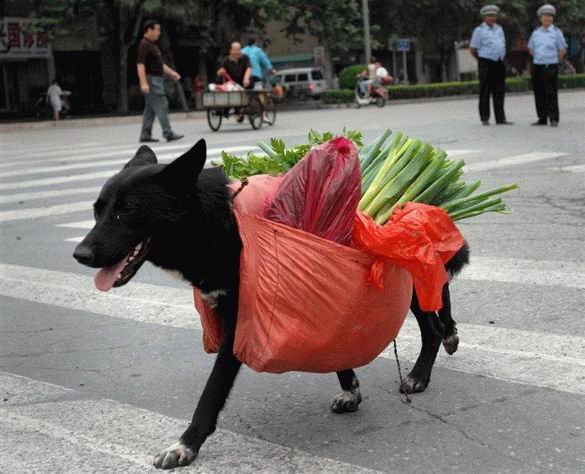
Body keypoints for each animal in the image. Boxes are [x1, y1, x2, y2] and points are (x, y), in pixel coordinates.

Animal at [73, 139, 468, 468]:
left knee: (432, 320)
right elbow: (336, 343)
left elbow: (211, 393)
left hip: (411, 276)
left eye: (126, 211)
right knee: (441, 295)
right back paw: (449, 335)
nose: (79, 254)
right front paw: (350, 388)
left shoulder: (239, 326)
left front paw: (185, 445)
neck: (219, 226)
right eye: (96, 211)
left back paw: (420, 373)